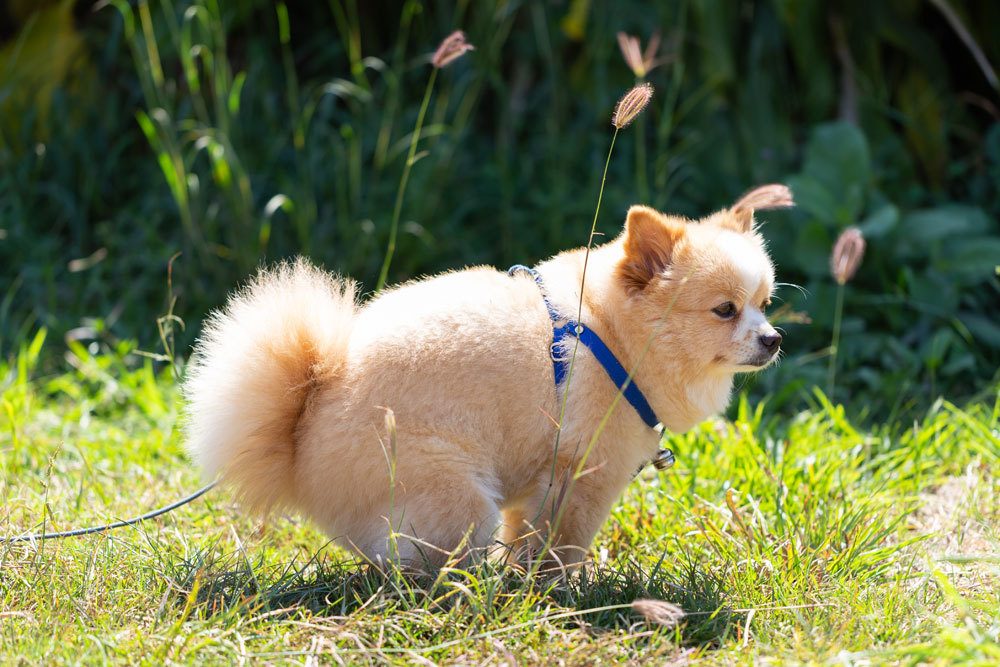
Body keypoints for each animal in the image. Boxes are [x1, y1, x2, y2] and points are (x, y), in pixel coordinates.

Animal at [184, 183, 792, 568]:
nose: (773, 339)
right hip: (455, 497)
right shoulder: (584, 476)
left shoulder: (543, 482)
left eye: (764, 305)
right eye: (725, 310)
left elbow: (528, 537)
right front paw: (562, 592)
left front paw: (529, 579)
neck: (613, 334)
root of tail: (306, 417)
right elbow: (564, 544)